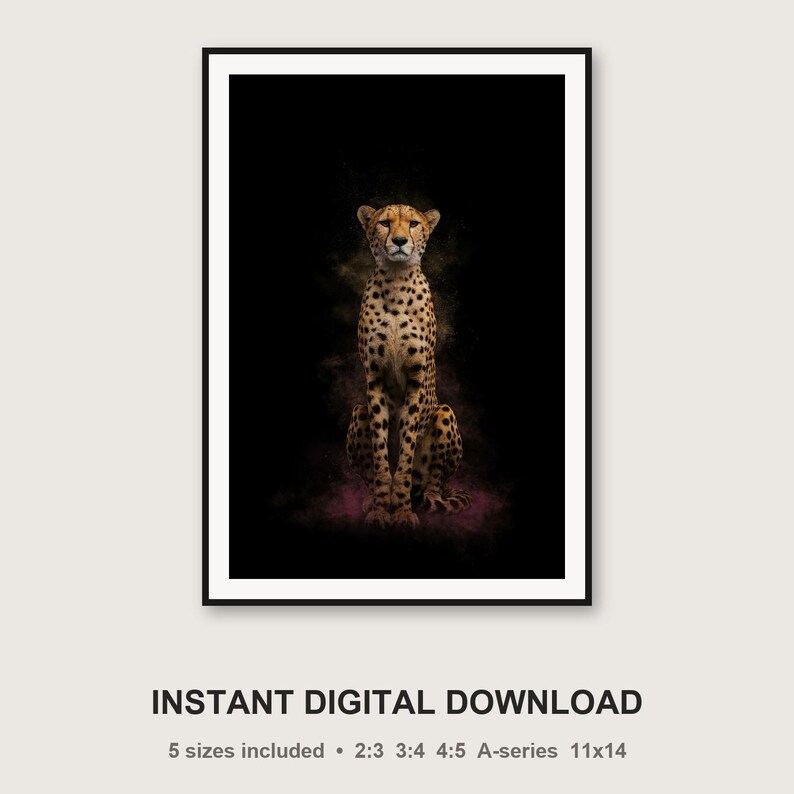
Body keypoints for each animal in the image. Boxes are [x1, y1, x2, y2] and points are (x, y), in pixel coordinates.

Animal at [346, 203, 472, 529]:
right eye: (384, 223)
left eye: (414, 223)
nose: (400, 241)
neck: (397, 280)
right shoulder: (374, 379)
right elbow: (381, 455)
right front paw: (381, 508)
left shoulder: (417, 381)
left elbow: (404, 454)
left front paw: (402, 510)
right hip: (359, 410)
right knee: (367, 473)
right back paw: (370, 499)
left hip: (444, 411)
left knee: (433, 483)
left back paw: (427, 497)